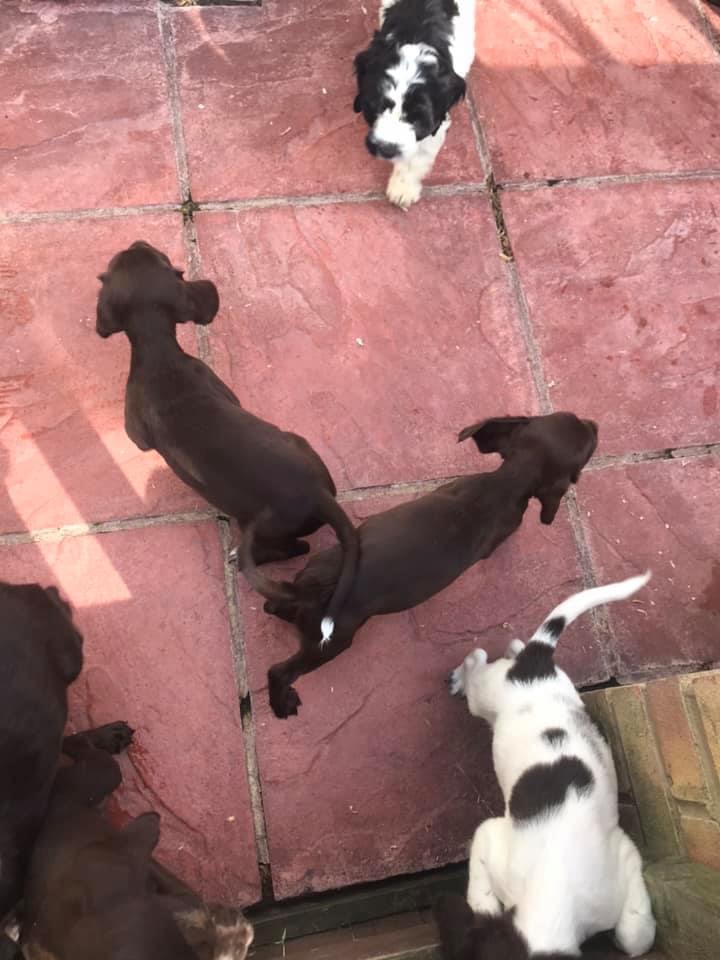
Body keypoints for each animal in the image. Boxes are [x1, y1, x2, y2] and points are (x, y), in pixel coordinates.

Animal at [96, 241, 359, 641]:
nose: (135, 242)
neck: (160, 355)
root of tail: (318, 494)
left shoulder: (135, 431)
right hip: (298, 441)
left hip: (263, 528)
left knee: (295, 547)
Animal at [239, 413, 598, 718]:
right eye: (588, 444)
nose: (594, 422)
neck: (504, 483)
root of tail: (308, 592)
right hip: (331, 643)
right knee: (280, 671)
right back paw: (281, 703)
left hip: (318, 567)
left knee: (273, 606)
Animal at [353, 0, 476, 209]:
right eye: (375, 107)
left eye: (417, 119)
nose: (387, 149)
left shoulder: (436, 121)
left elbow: (418, 154)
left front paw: (402, 188)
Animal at [444, 574, 656, 959]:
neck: (552, 894)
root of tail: (535, 664)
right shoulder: (491, 835)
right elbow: (480, 886)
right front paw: (484, 904)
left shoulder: (625, 861)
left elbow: (636, 936)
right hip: (501, 691)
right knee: (487, 657)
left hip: (494, 692)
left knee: (484, 658)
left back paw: (472, 670)